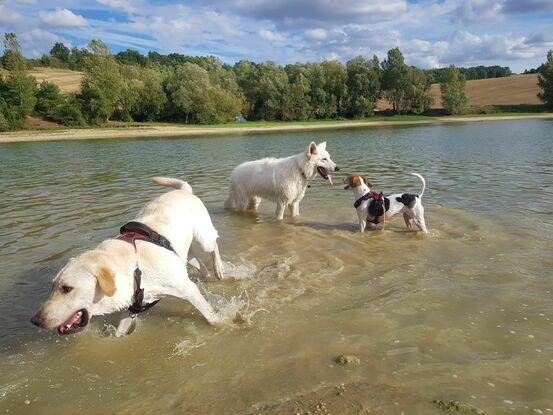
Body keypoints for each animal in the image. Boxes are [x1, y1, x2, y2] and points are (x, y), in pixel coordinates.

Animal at [30, 178, 223, 338]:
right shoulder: (132, 306)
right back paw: (207, 274)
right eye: (52, 287)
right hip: (182, 253)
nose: (35, 321)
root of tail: (184, 190)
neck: (135, 268)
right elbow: (120, 333)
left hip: (203, 238)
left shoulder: (187, 289)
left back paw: (219, 269)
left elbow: (211, 316)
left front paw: (223, 324)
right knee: (197, 261)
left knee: (214, 243)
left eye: (67, 289)